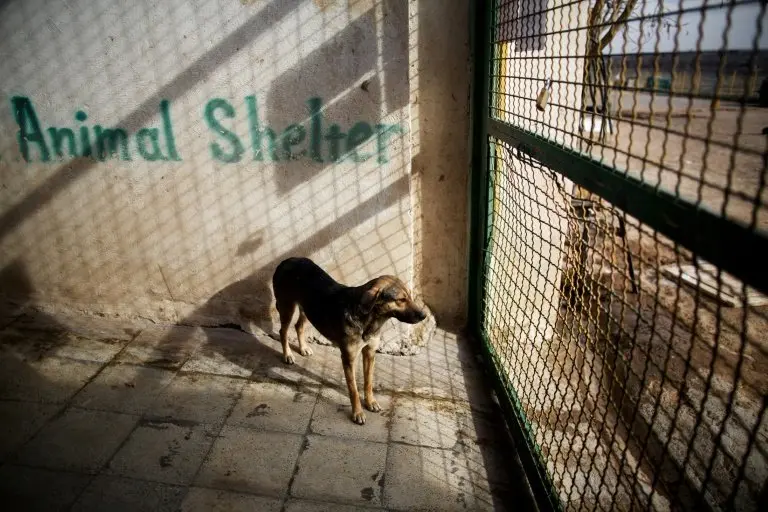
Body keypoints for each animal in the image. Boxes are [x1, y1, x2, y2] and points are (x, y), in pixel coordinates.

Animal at [272, 258, 428, 426]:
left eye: (410, 297)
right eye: (401, 300)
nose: (424, 315)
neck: (370, 320)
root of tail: (286, 260)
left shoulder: (370, 353)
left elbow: (368, 382)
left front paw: (370, 402)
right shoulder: (348, 358)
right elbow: (353, 389)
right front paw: (358, 413)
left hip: (308, 309)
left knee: (298, 326)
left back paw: (303, 348)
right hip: (287, 307)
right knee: (283, 331)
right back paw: (287, 355)